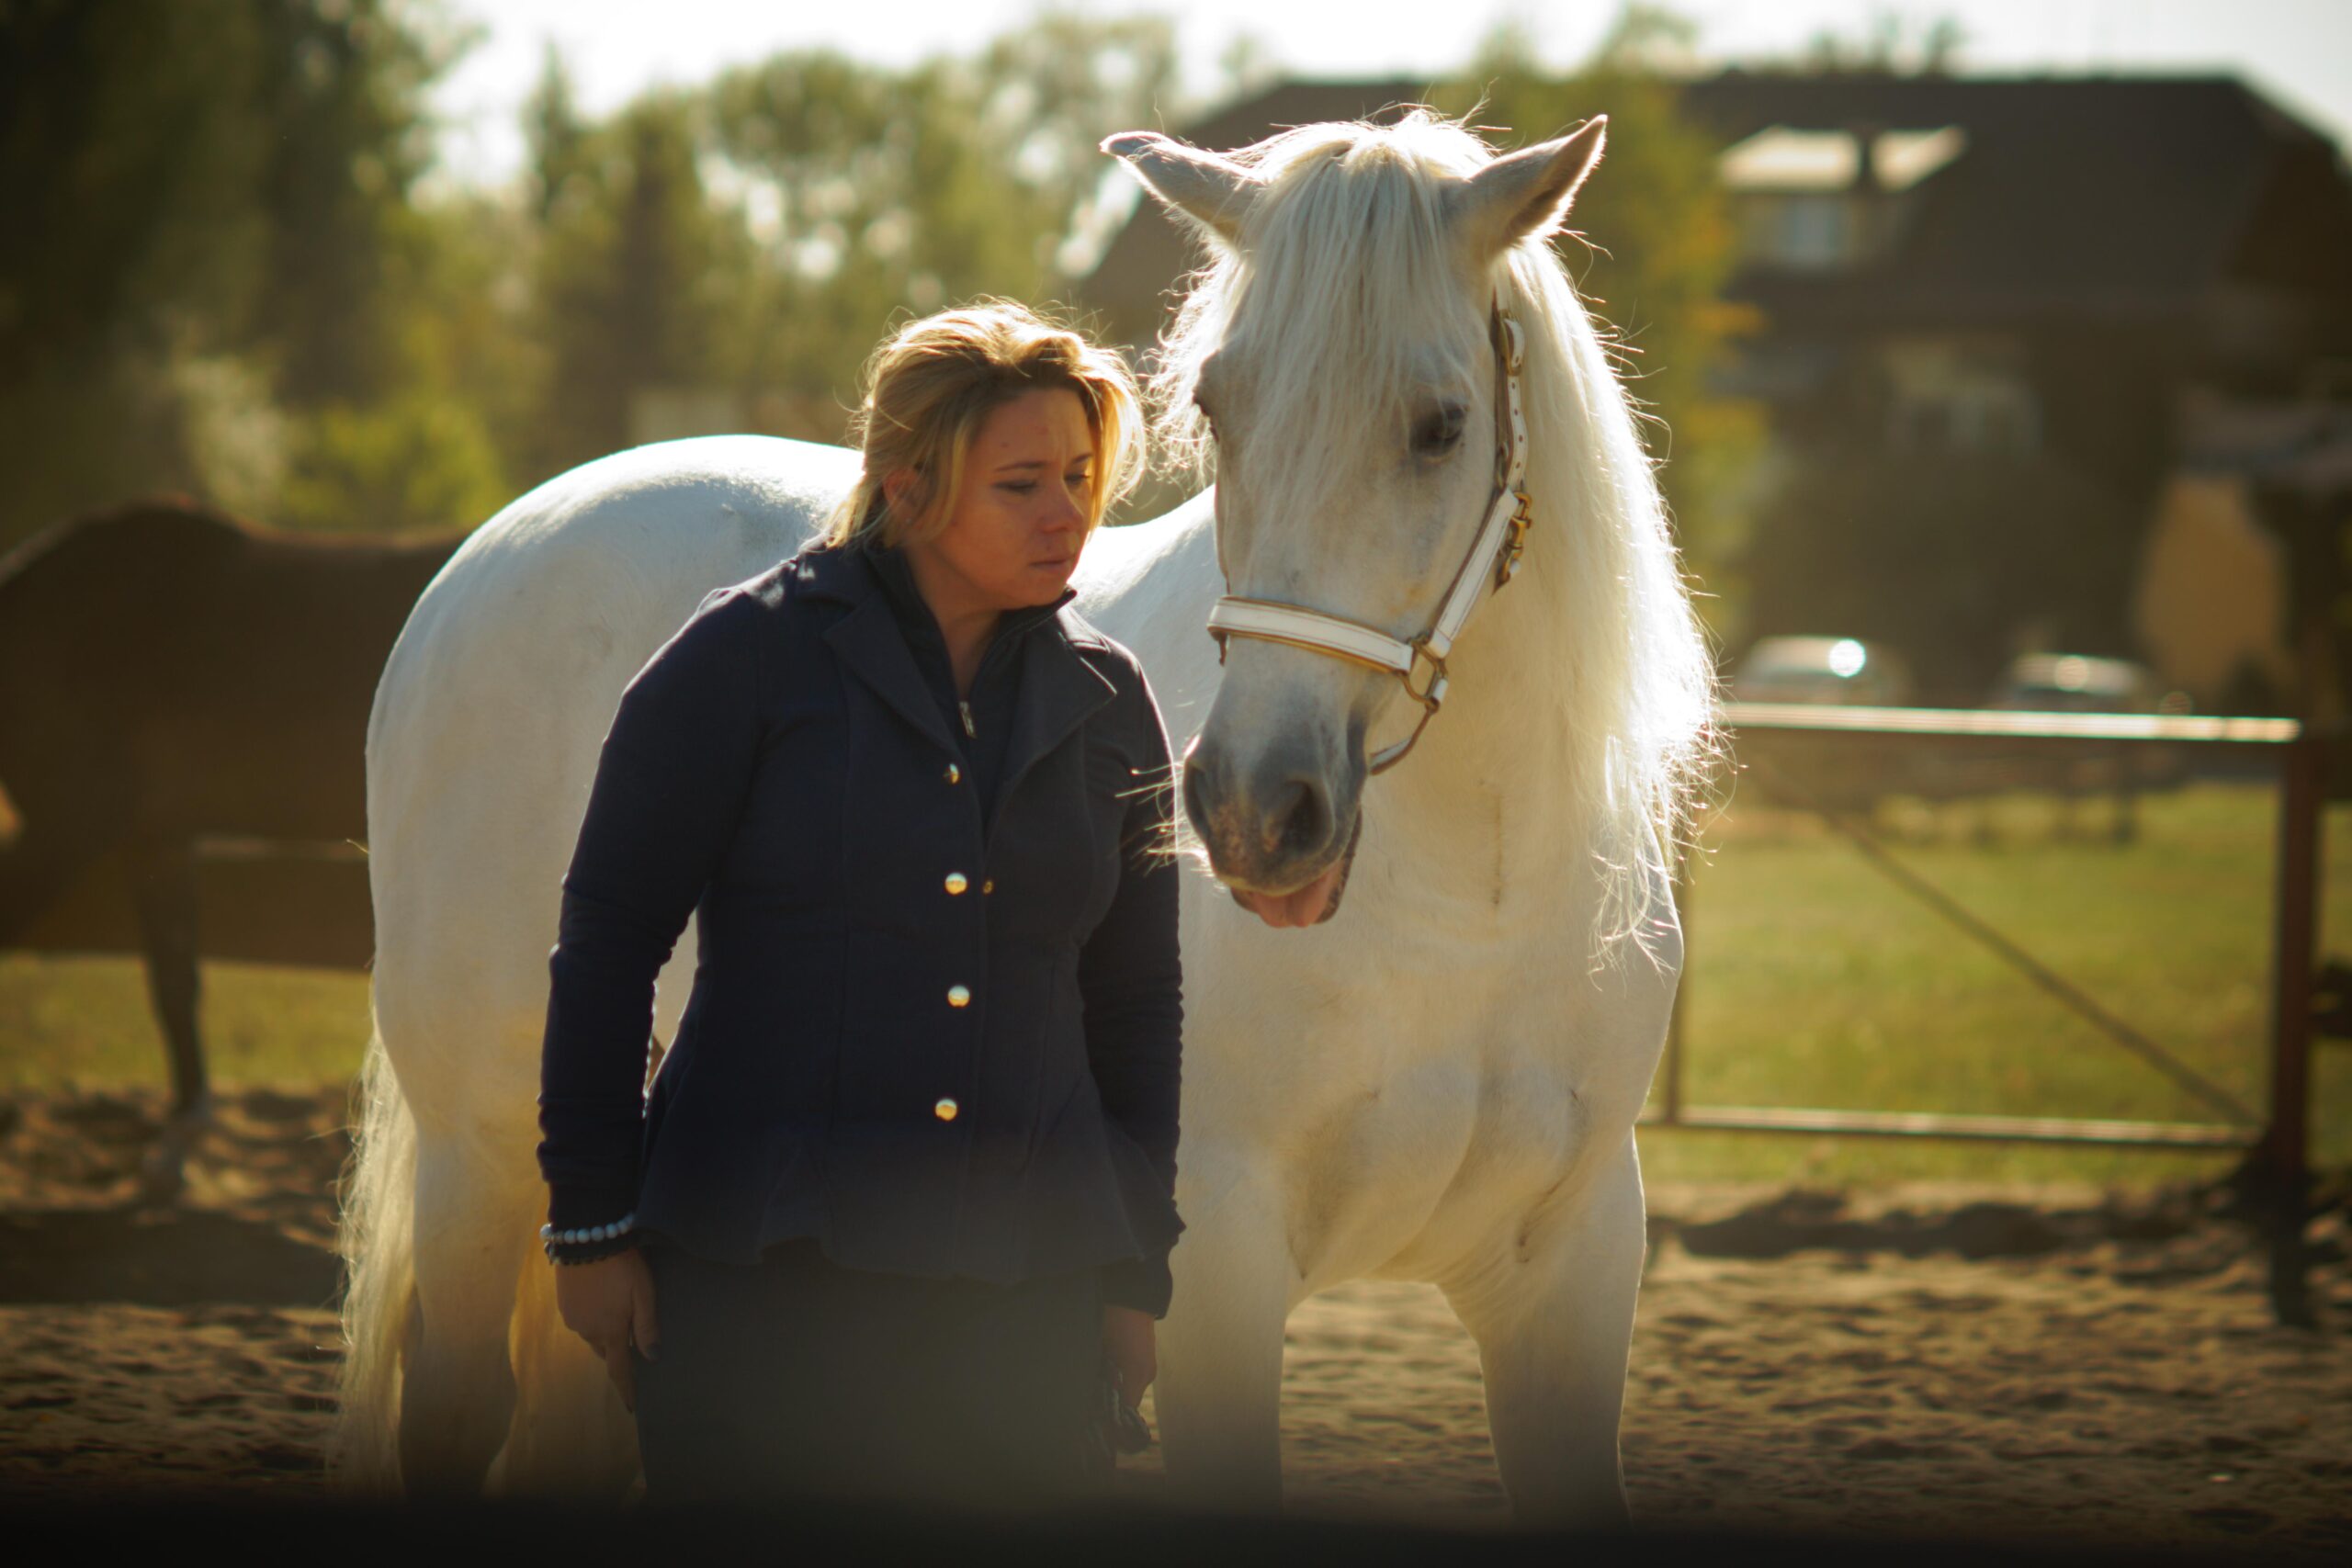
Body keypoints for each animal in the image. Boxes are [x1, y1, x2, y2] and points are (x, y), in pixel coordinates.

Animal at [335, 109, 1712, 1524]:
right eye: (1217, 409)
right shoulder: (1217, 1269)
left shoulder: (1573, 1276)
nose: (1252, 810)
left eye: (1441, 427)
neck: (1465, 911)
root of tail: (498, 544)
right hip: (481, 1160)